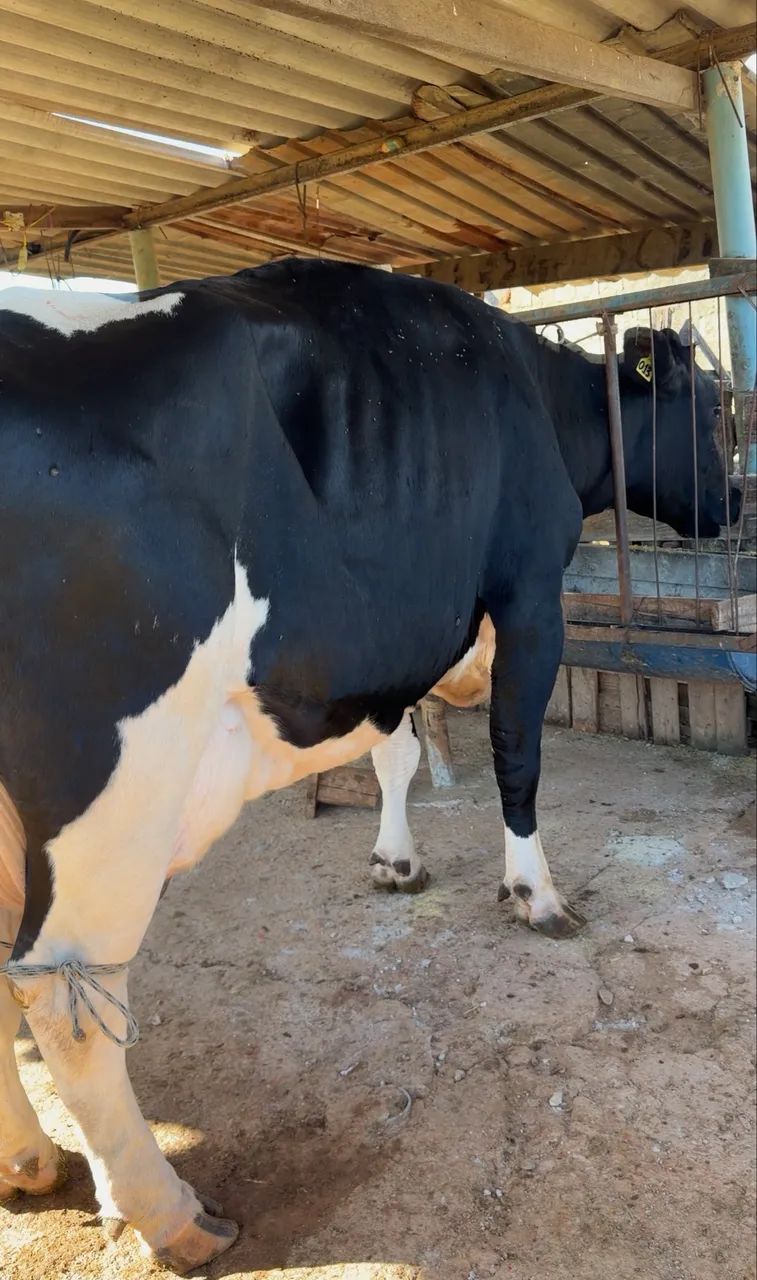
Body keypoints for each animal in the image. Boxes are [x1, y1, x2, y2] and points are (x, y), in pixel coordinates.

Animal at [0, 260, 739, 1272]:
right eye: (712, 408)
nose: (737, 506)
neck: (536, 396)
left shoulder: (394, 639)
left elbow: (397, 753)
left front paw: (395, 861)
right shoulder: (526, 592)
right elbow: (516, 753)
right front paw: (534, 892)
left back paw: (29, 1161)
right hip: (111, 790)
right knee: (67, 1003)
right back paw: (172, 1212)